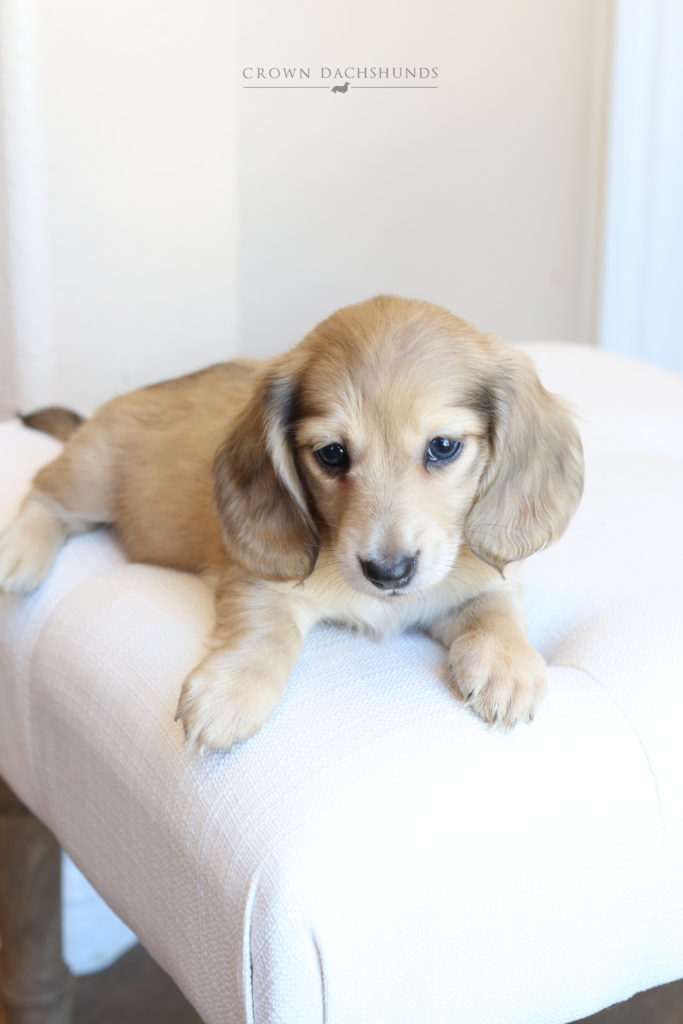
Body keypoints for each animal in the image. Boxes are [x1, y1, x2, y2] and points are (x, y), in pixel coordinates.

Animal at [0, 296, 581, 753]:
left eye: (443, 447)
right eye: (332, 454)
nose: (388, 573)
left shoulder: (482, 582)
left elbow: (496, 611)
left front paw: (507, 664)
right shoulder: (257, 582)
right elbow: (268, 633)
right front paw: (232, 691)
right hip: (90, 481)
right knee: (43, 493)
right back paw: (20, 553)